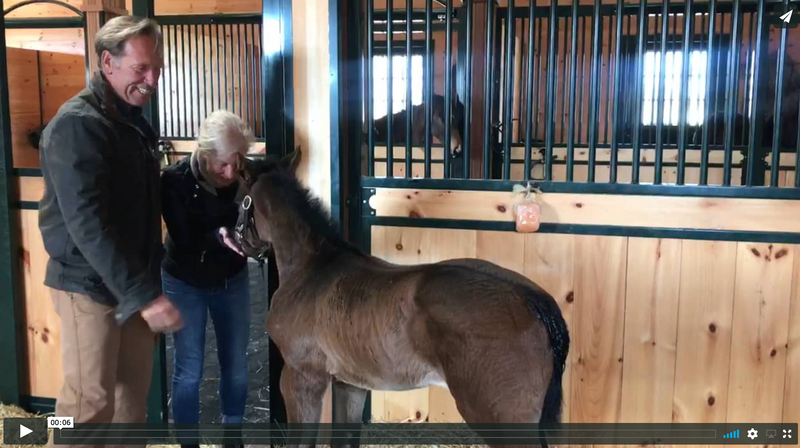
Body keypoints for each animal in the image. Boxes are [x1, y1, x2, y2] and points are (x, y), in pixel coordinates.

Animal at [234, 149, 572, 446]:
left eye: (238, 199)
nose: (235, 241)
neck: (314, 267)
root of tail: (533, 302)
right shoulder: (350, 384)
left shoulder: (301, 378)